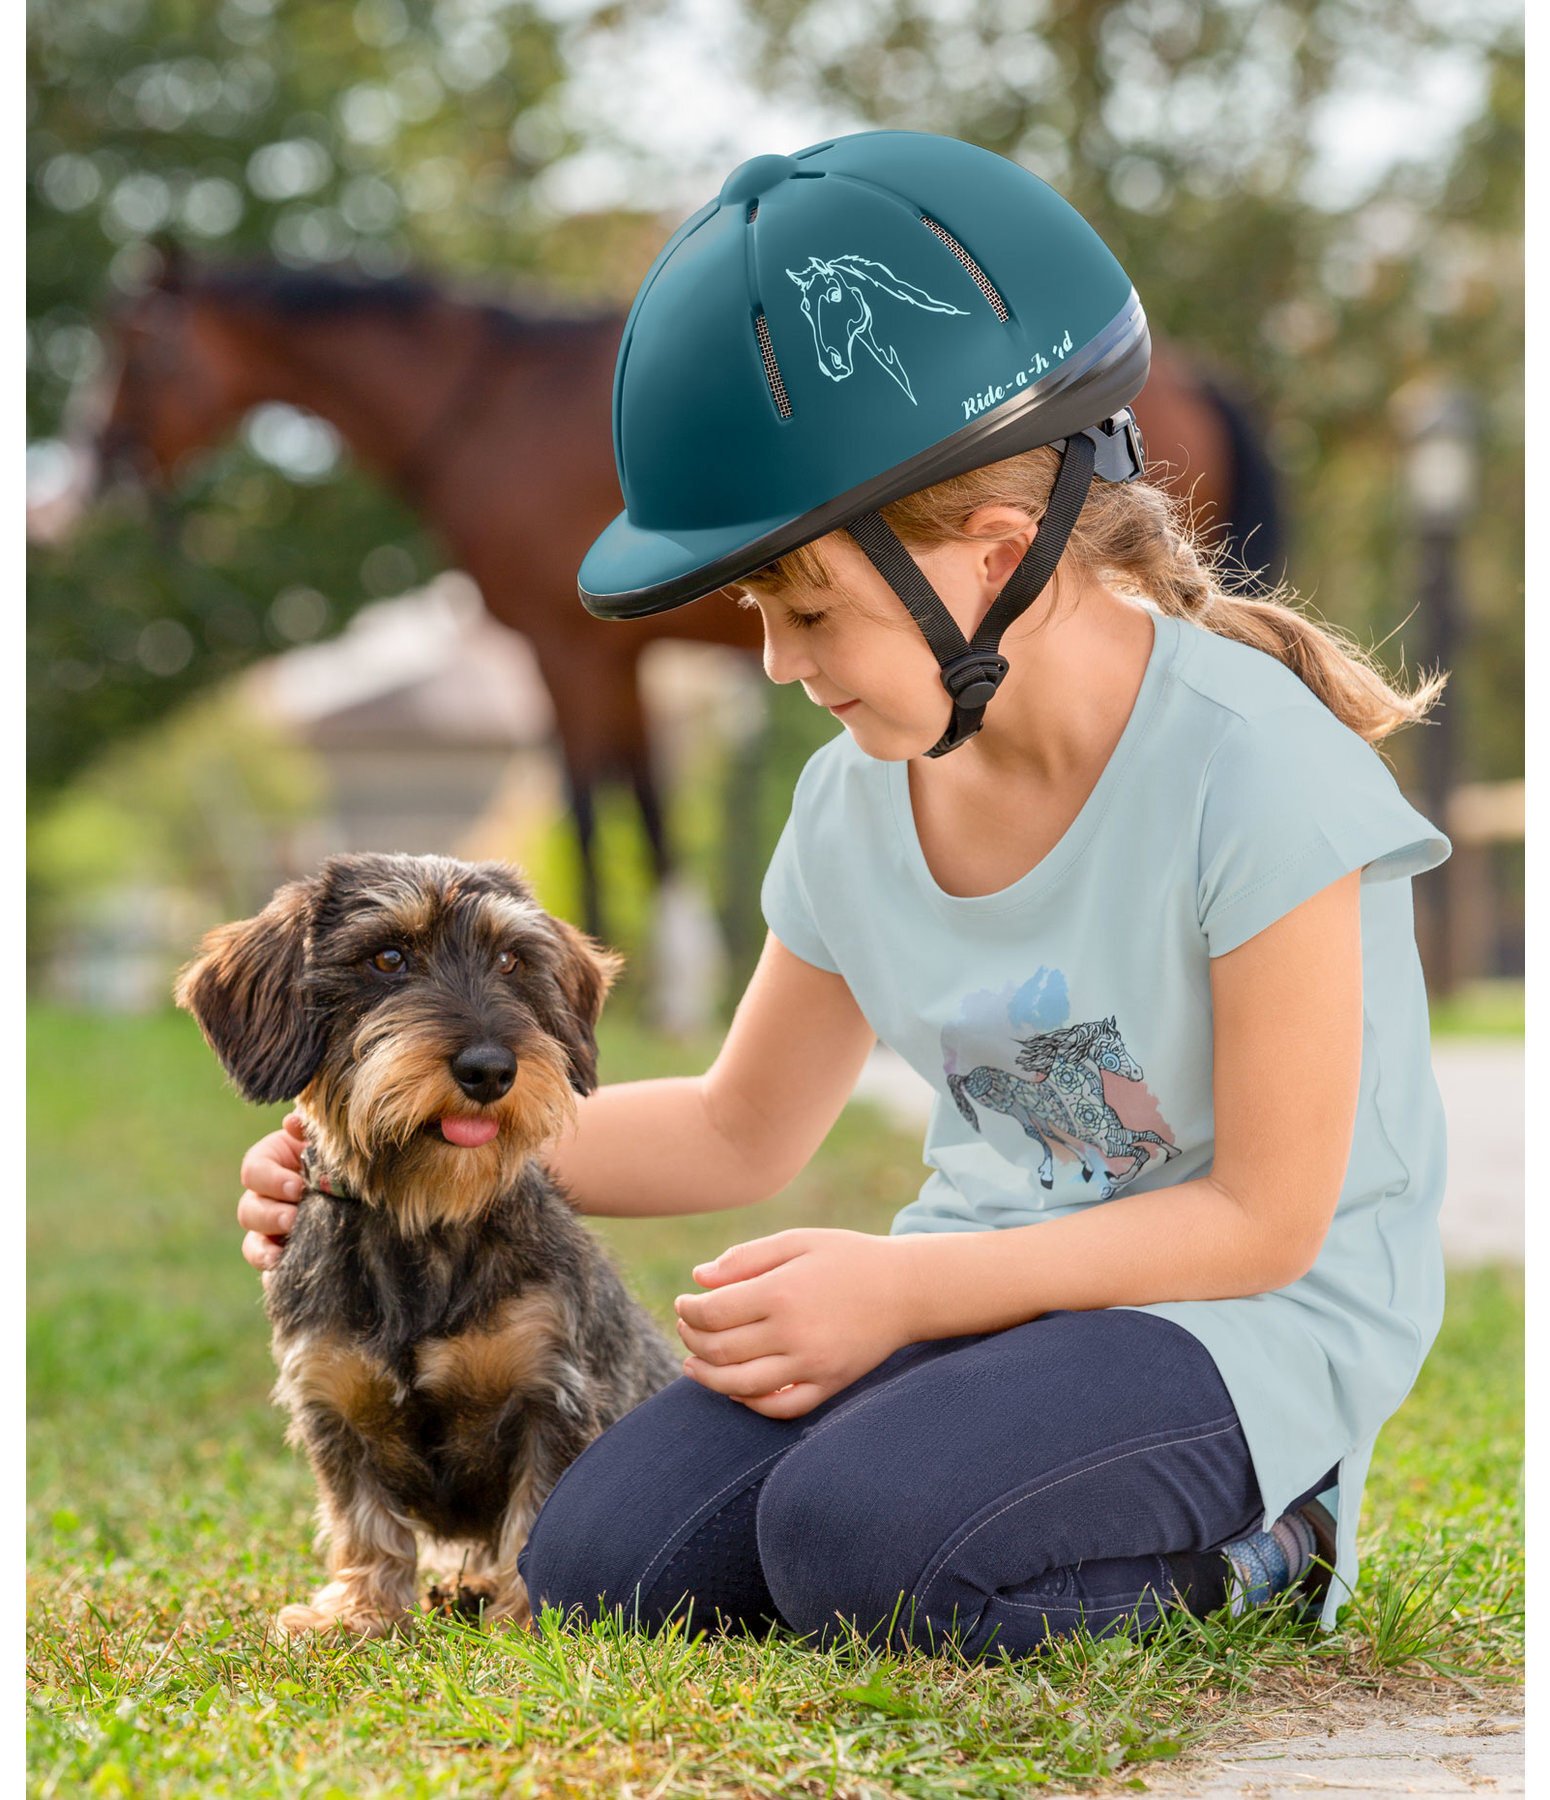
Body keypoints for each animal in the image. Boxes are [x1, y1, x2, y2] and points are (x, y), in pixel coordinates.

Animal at [54, 257, 1281, 928]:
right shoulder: (615, 658)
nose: (91, 465)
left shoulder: (562, 649)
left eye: (134, 342)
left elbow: (592, 805)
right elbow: (639, 798)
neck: (487, 405)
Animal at [175, 849, 676, 1641]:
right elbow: (363, 1521)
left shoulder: (554, 1394)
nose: (490, 1069)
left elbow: (536, 1513)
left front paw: (525, 1621)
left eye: (510, 959)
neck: (423, 1218)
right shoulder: (333, 1404)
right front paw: (360, 1613)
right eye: (388, 957)